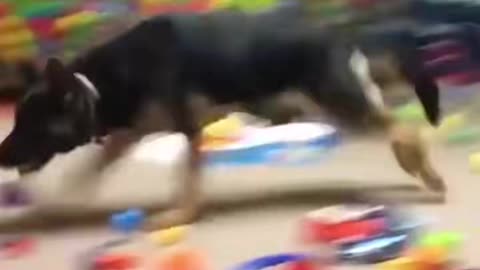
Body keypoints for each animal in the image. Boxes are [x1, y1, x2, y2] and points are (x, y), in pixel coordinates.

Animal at [0, 7, 446, 229]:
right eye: (17, 121)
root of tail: (342, 36)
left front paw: (180, 217)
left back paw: (428, 174)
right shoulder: (130, 135)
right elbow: (89, 171)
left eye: (29, 124)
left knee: (405, 128)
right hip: (339, 103)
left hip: (340, 104)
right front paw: (60, 205)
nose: (2, 155)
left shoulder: (188, 129)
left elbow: (188, 180)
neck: (93, 87)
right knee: (395, 122)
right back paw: (414, 165)